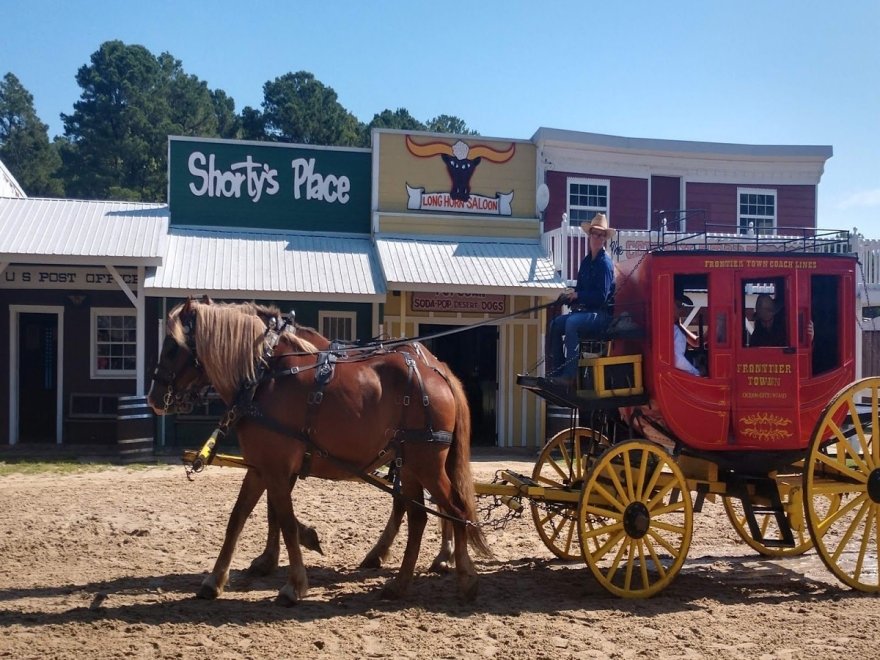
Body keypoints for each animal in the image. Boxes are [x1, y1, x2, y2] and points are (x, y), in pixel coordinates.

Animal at [147, 300, 484, 604]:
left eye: (173, 346)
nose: (153, 397)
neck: (266, 377)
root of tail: (437, 372)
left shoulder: (278, 467)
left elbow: (283, 518)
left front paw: (294, 584)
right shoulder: (260, 467)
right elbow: (239, 518)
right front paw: (215, 580)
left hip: (427, 464)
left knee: (455, 511)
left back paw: (464, 577)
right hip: (410, 464)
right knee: (417, 516)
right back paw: (399, 583)